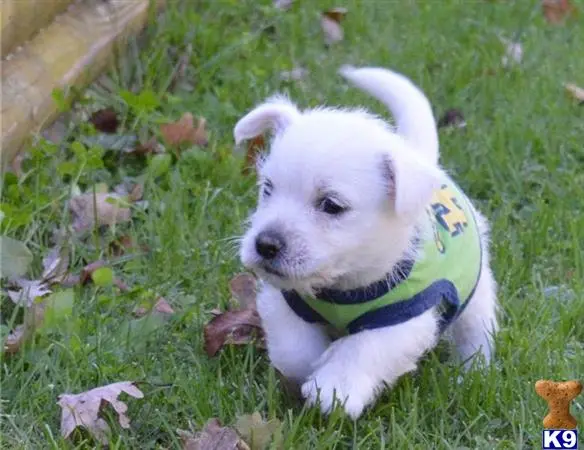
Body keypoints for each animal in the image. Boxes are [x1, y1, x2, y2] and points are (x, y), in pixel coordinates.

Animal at [233, 64, 498, 418]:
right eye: (268, 188)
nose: (265, 245)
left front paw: (334, 386)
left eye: (331, 205)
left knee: (476, 332)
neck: (342, 287)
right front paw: (312, 367)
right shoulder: (284, 301)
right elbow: (295, 351)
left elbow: (363, 347)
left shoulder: (403, 319)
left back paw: (471, 373)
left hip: (476, 293)